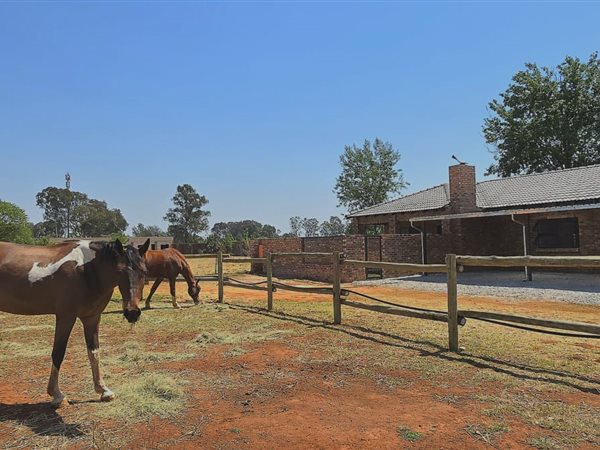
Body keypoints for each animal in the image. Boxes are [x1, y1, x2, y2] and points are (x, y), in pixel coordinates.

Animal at [0, 239, 150, 408]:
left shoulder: (92, 318)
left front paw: (103, 390)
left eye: (144, 272)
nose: (132, 313)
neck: (86, 271)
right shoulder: (66, 317)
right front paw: (57, 395)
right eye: (120, 271)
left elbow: (94, 352)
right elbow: (58, 353)